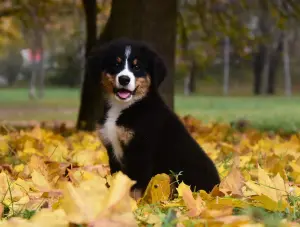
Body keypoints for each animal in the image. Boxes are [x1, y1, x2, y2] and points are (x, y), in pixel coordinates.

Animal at [87, 38, 220, 200]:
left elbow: (135, 186)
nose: (124, 79)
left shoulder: (141, 151)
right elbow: (118, 180)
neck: (123, 107)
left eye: (137, 66)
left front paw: (133, 203)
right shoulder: (112, 149)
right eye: (116, 64)